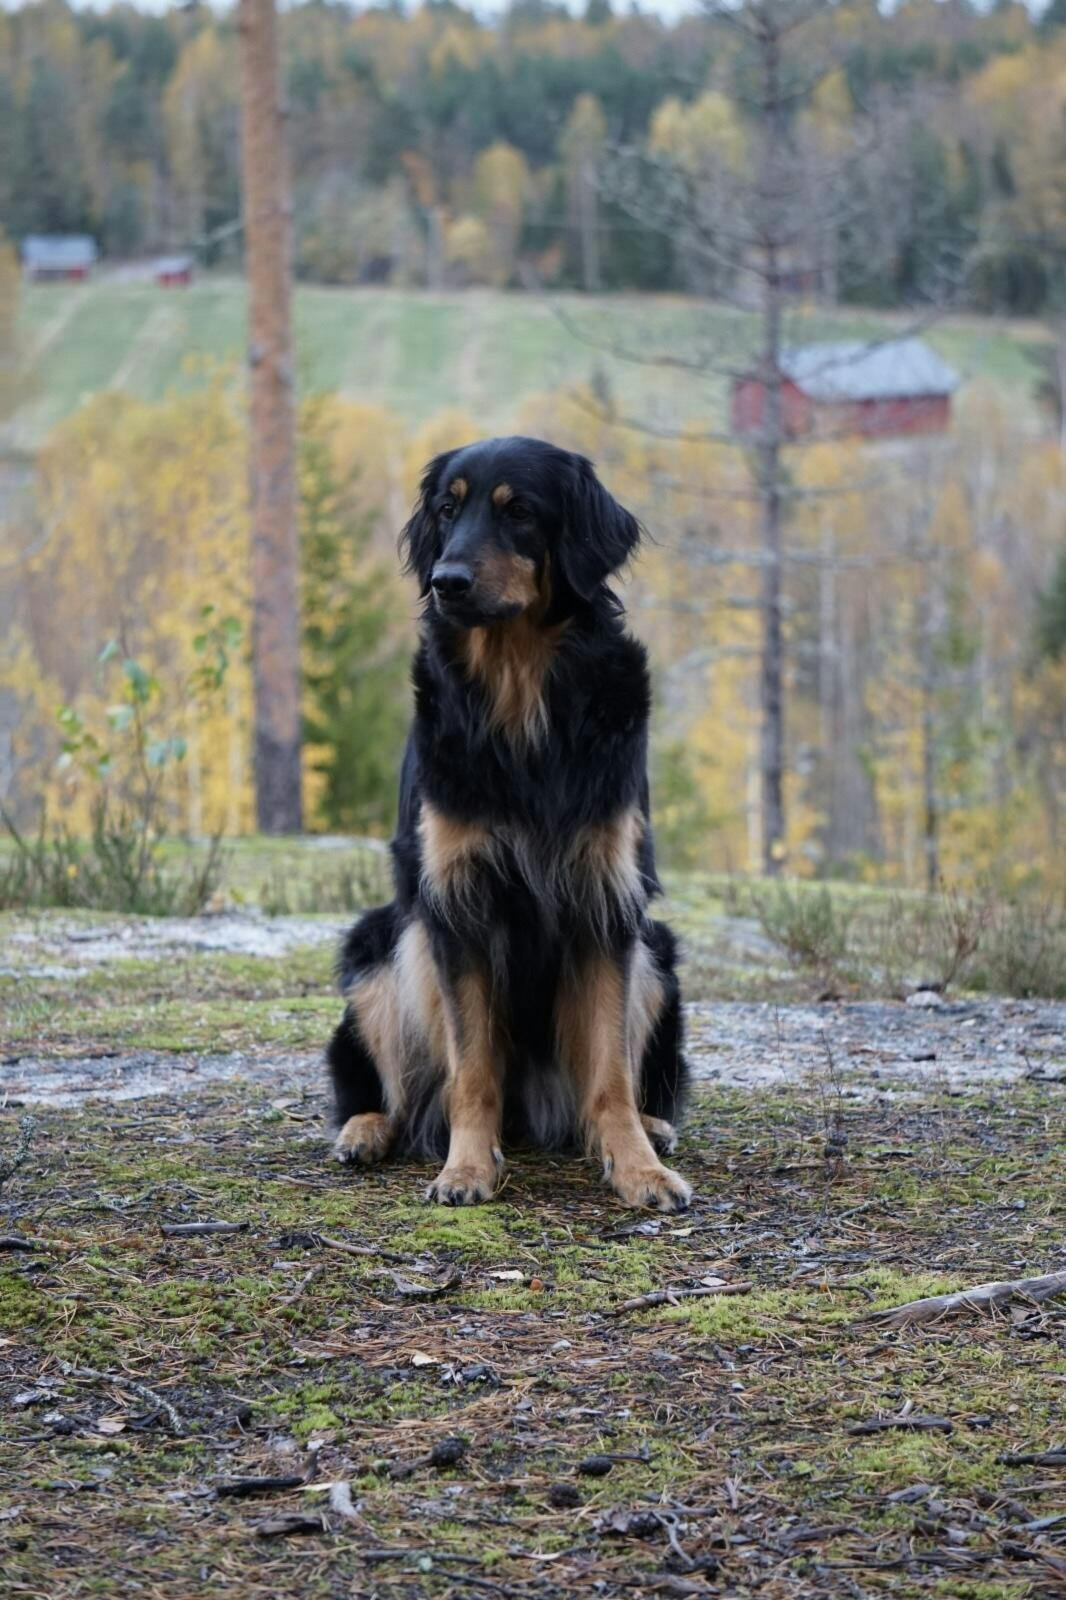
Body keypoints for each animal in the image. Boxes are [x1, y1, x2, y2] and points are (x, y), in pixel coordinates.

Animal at [326, 436, 691, 1211]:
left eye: (519, 511)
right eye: (447, 509)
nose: (446, 581)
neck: (521, 695)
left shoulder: (606, 900)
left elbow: (609, 1073)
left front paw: (637, 1166)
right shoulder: (457, 901)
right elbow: (472, 1068)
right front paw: (465, 1168)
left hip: (657, 952)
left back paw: (653, 1125)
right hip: (378, 948)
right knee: (397, 1093)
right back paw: (366, 1130)